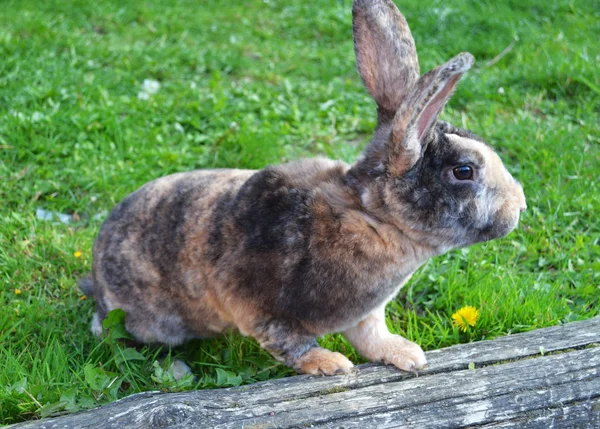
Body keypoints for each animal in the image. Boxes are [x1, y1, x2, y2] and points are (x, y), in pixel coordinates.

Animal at [81, 0, 524, 374]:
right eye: (464, 171)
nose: (519, 206)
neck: (373, 218)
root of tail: (97, 275)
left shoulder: (366, 313)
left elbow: (370, 335)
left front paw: (406, 354)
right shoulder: (254, 303)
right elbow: (288, 342)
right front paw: (330, 364)